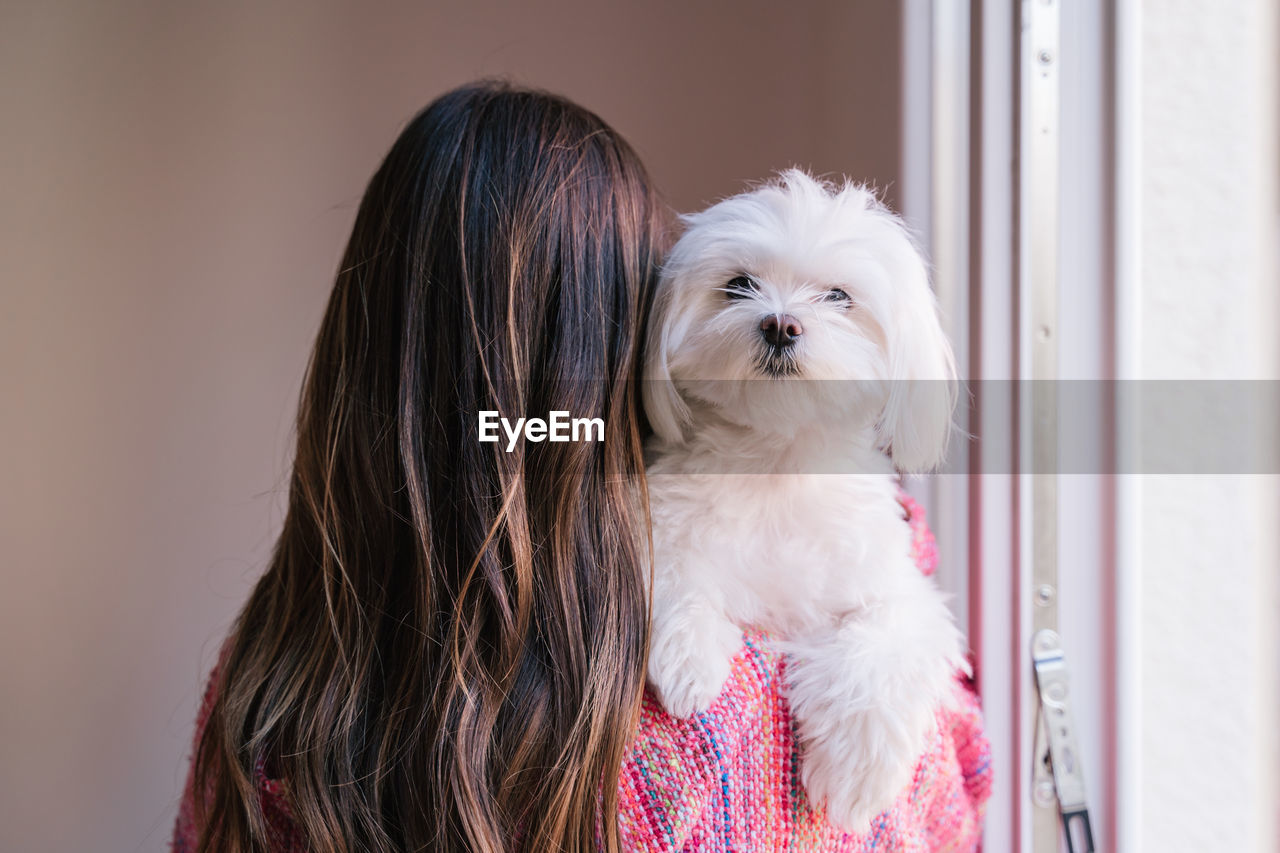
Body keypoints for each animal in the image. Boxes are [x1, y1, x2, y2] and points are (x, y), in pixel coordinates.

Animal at [645, 167, 962, 829]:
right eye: (739, 285)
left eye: (838, 296)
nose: (780, 324)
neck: (778, 464)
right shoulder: (664, 523)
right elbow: (673, 572)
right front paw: (690, 661)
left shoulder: (894, 589)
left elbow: (884, 645)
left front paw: (854, 779)